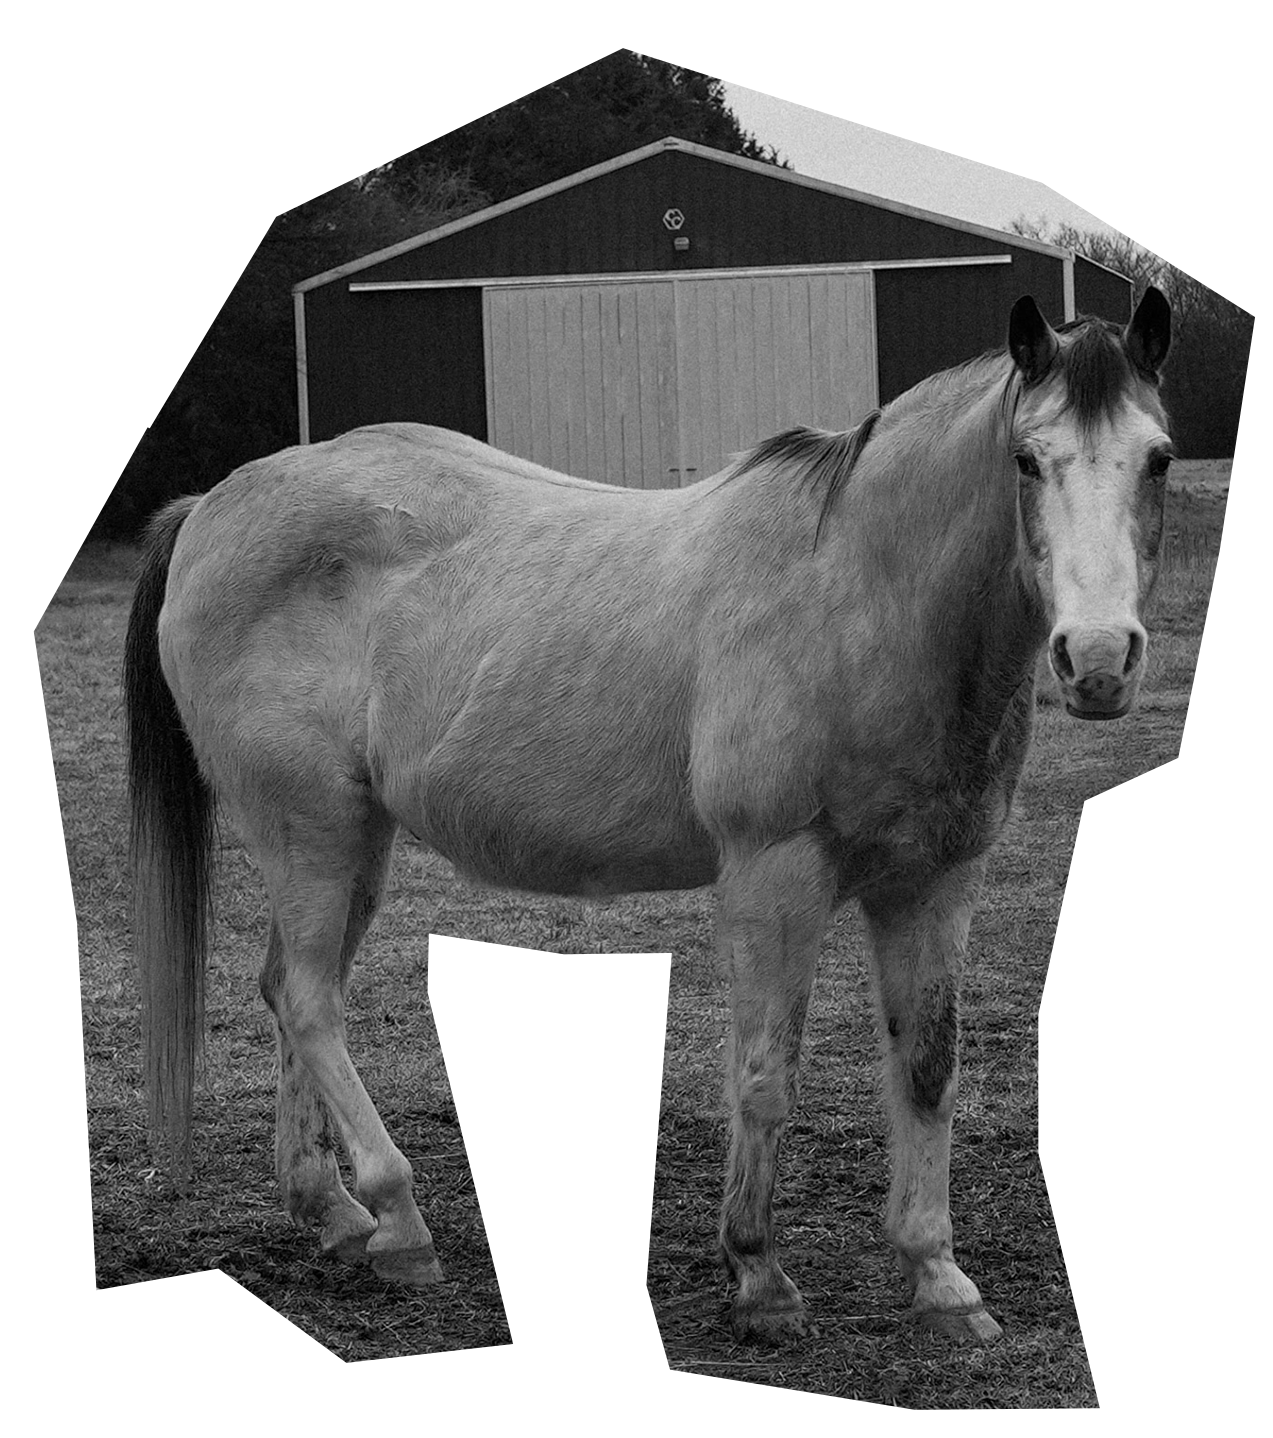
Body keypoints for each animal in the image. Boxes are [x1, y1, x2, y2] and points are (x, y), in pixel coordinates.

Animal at [124, 287, 1172, 1342]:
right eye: (1026, 460)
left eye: (1157, 457)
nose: (1096, 661)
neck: (859, 596)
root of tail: (210, 508)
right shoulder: (774, 876)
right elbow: (765, 1075)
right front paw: (759, 1277)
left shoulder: (935, 881)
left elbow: (926, 1070)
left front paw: (938, 1277)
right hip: (312, 831)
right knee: (309, 1000)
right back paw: (399, 1218)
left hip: (352, 844)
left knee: (288, 991)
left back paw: (335, 1214)